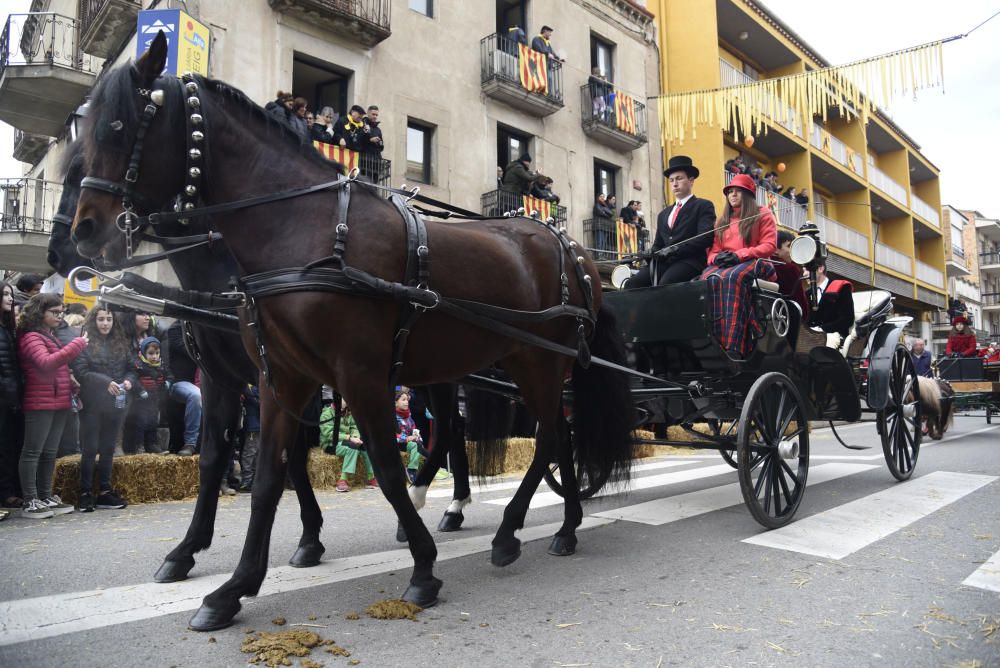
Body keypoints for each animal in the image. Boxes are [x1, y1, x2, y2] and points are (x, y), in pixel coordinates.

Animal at [72, 34, 632, 632]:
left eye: (120, 126)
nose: (83, 232)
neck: (304, 229)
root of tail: (574, 252)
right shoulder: (277, 377)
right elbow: (264, 475)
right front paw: (233, 587)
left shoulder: (358, 375)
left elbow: (384, 466)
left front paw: (422, 568)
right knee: (523, 437)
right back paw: (554, 524)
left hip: (538, 362)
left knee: (549, 438)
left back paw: (519, 530)